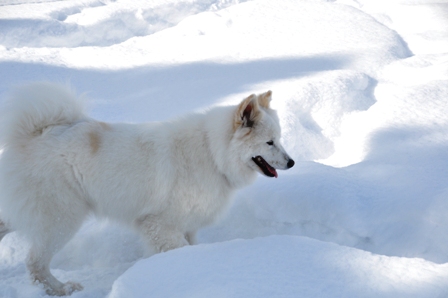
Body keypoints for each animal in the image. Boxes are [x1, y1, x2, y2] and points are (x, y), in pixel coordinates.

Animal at [0, 82, 294, 296]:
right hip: (62, 219)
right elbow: (177, 250)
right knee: (35, 264)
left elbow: (192, 247)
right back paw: (61, 289)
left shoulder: (187, 225)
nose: (291, 162)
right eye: (269, 142)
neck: (212, 152)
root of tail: (33, 133)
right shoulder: (160, 224)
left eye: (279, 139)